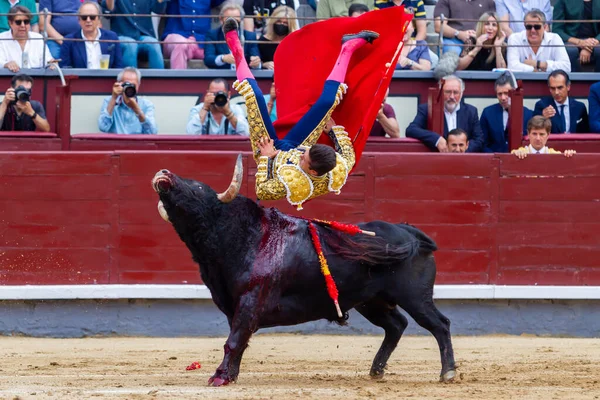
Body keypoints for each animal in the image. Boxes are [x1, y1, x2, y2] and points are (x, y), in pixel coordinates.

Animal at [150, 155, 454, 386]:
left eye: (198, 187)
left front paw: (220, 377)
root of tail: (409, 232)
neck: (240, 235)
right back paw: (376, 370)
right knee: (396, 325)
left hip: (415, 297)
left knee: (439, 324)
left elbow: (234, 340)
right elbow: (238, 340)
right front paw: (230, 375)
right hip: (371, 301)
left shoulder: (250, 299)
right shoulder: (232, 304)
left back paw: (447, 373)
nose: (163, 173)